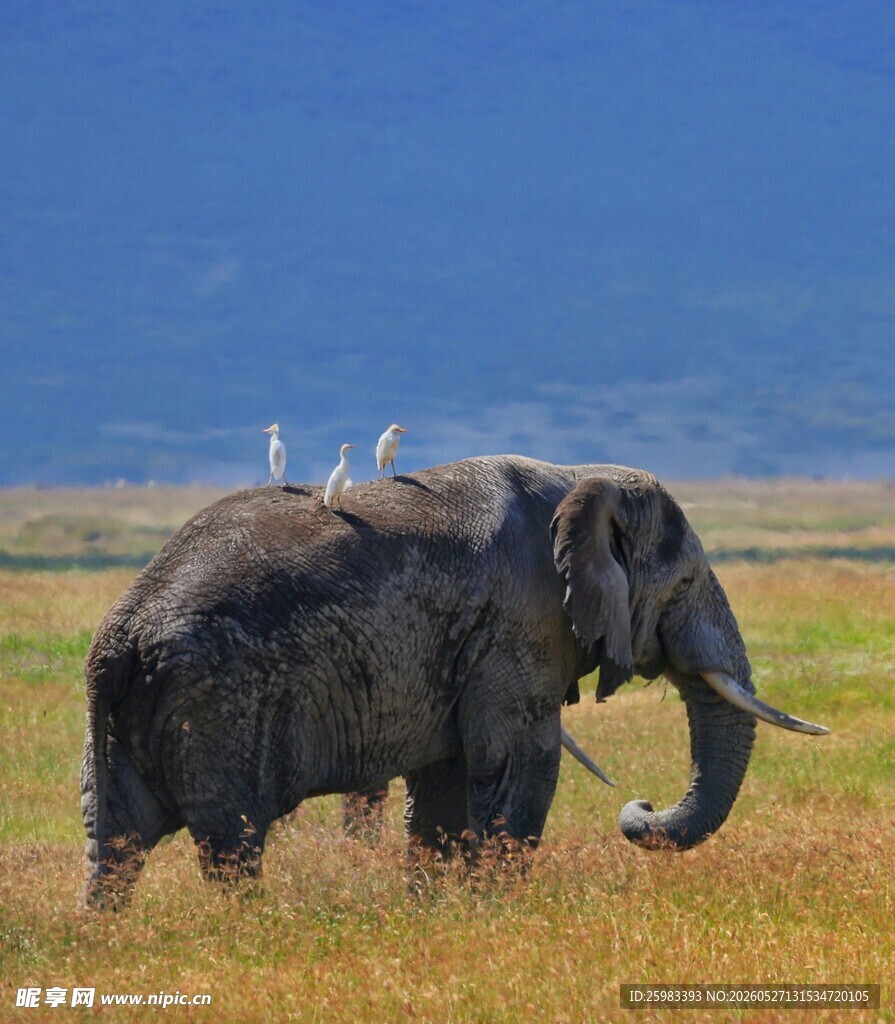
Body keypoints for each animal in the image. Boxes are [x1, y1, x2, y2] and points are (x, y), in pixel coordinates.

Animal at [81, 455, 827, 907]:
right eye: (684, 581)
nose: (642, 804)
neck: (580, 477)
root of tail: (119, 640)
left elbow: (444, 779)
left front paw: (437, 913)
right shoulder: (520, 617)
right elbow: (522, 761)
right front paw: (501, 913)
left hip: (134, 716)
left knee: (114, 837)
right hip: (213, 707)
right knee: (230, 840)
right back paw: (247, 931)